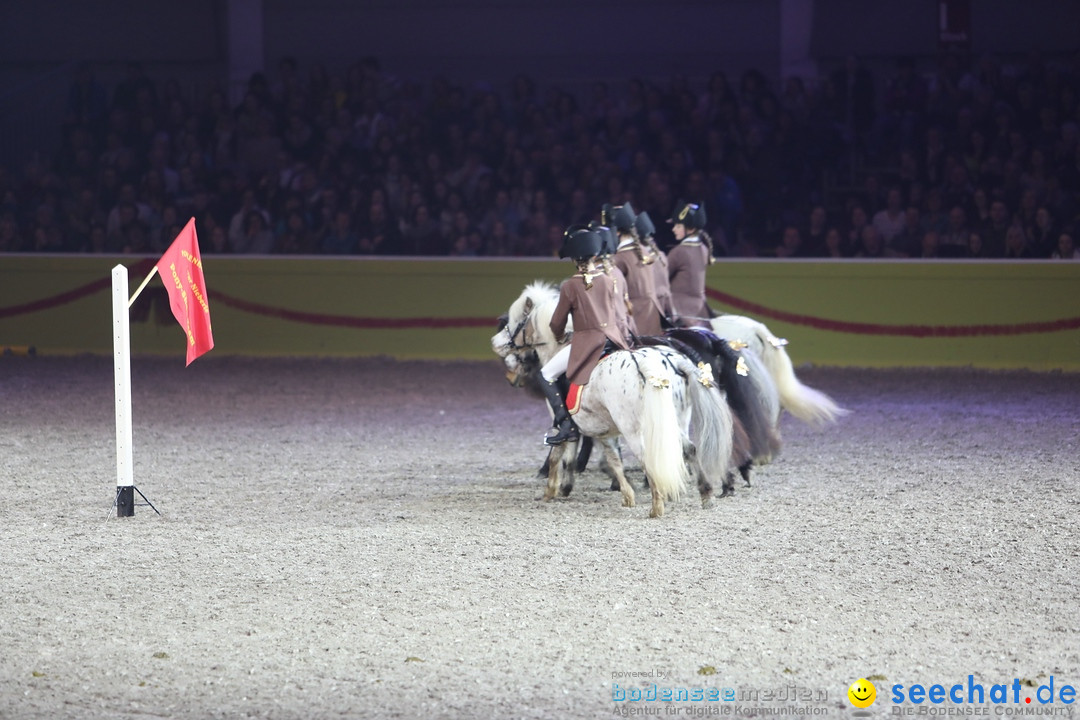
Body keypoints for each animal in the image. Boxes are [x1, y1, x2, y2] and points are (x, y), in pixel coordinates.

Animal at [492, 280, 734, 518]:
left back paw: (657, 507)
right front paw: (626, 494)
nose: (494, 342)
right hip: (675, 421)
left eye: (515, 322)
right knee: (688, 449)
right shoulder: (603, 430)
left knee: (650, 458)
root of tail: (669, 361)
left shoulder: (564, 424)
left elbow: (560, 456)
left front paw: (554, 489)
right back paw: (706, 493)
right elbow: (613, 460)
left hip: (636, 428)